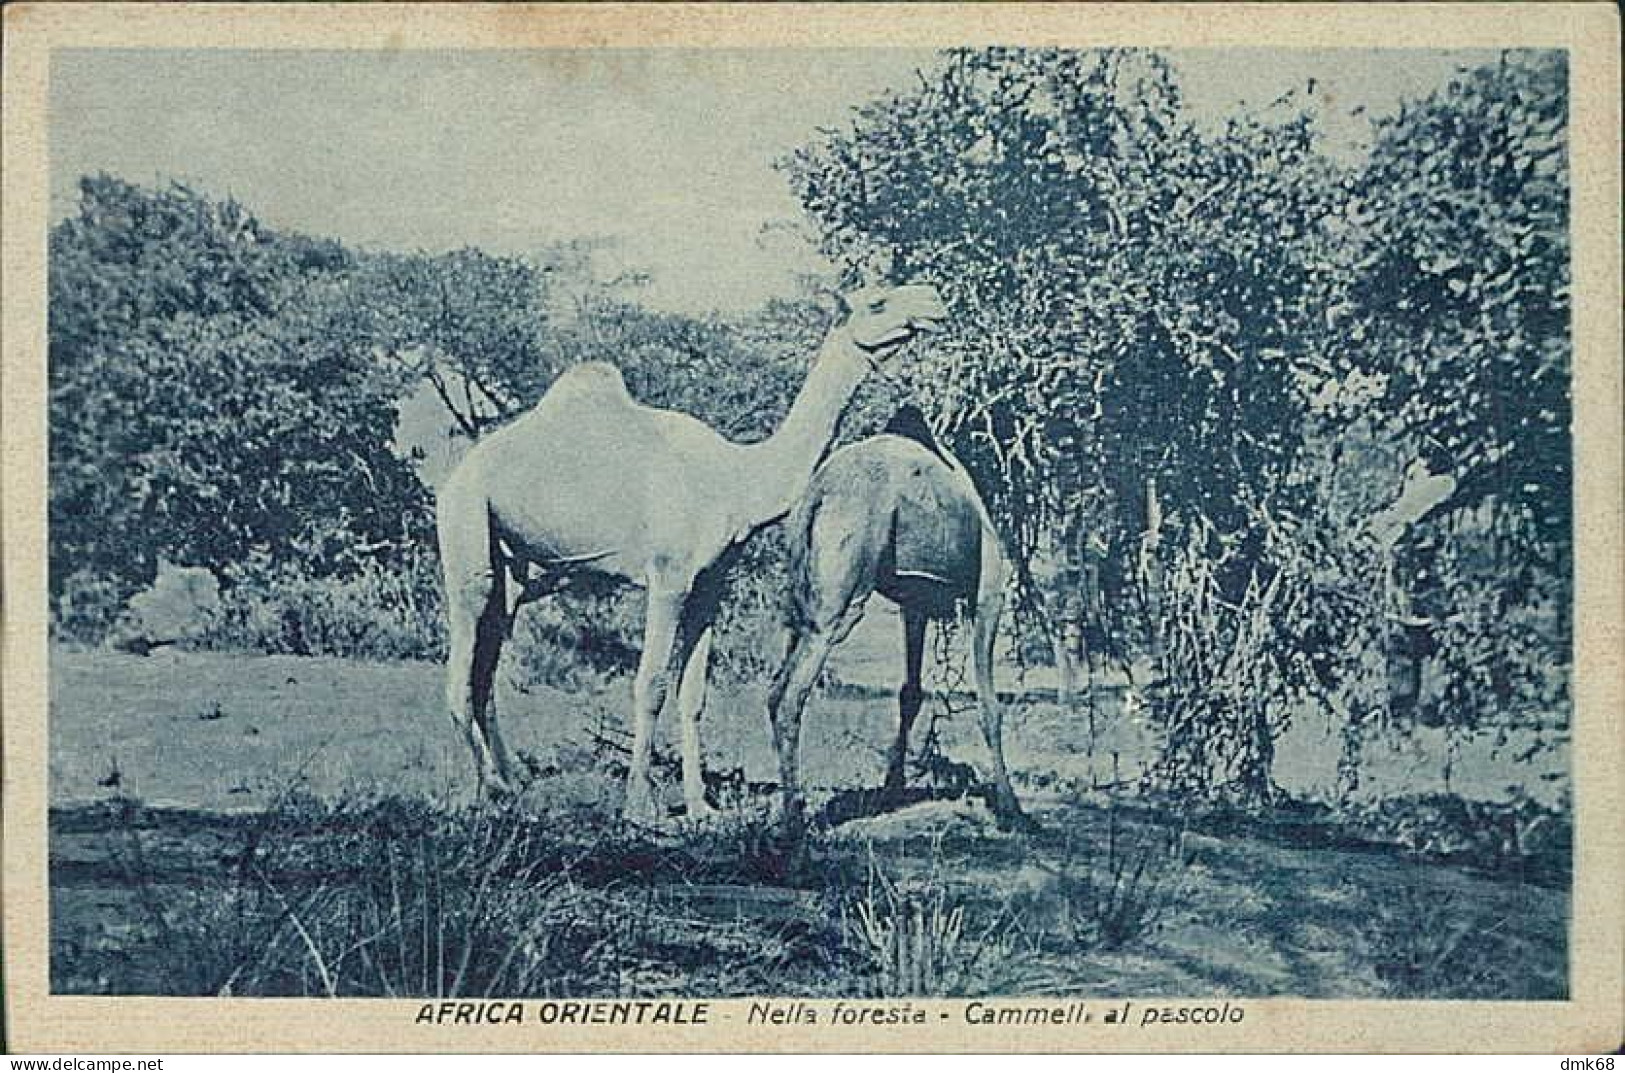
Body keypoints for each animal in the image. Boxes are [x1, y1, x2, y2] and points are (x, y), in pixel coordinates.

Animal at [438, 282, 949, 822]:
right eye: (878, 302)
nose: (933, 300)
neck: (734, 480)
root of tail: (458, 471)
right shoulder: (670, 578)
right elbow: (652, 685)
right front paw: (640, 806)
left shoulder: (711, 582)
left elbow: (694, 694)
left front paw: (701, 804)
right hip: (466, 526)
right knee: (461, 664)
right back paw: (491, 790)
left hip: (515, 569)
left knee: (486, 665)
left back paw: (515, 785)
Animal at [763, 403, 1020, 829]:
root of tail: (818, 496)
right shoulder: (988, 591)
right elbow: (990, 706)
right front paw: (1012, 808)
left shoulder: (914, 602)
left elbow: (910, 692)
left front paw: (892, 789)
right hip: (841, 600)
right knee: (791, 695)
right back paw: (793, 824)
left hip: (800, 594)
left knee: (774, 687)